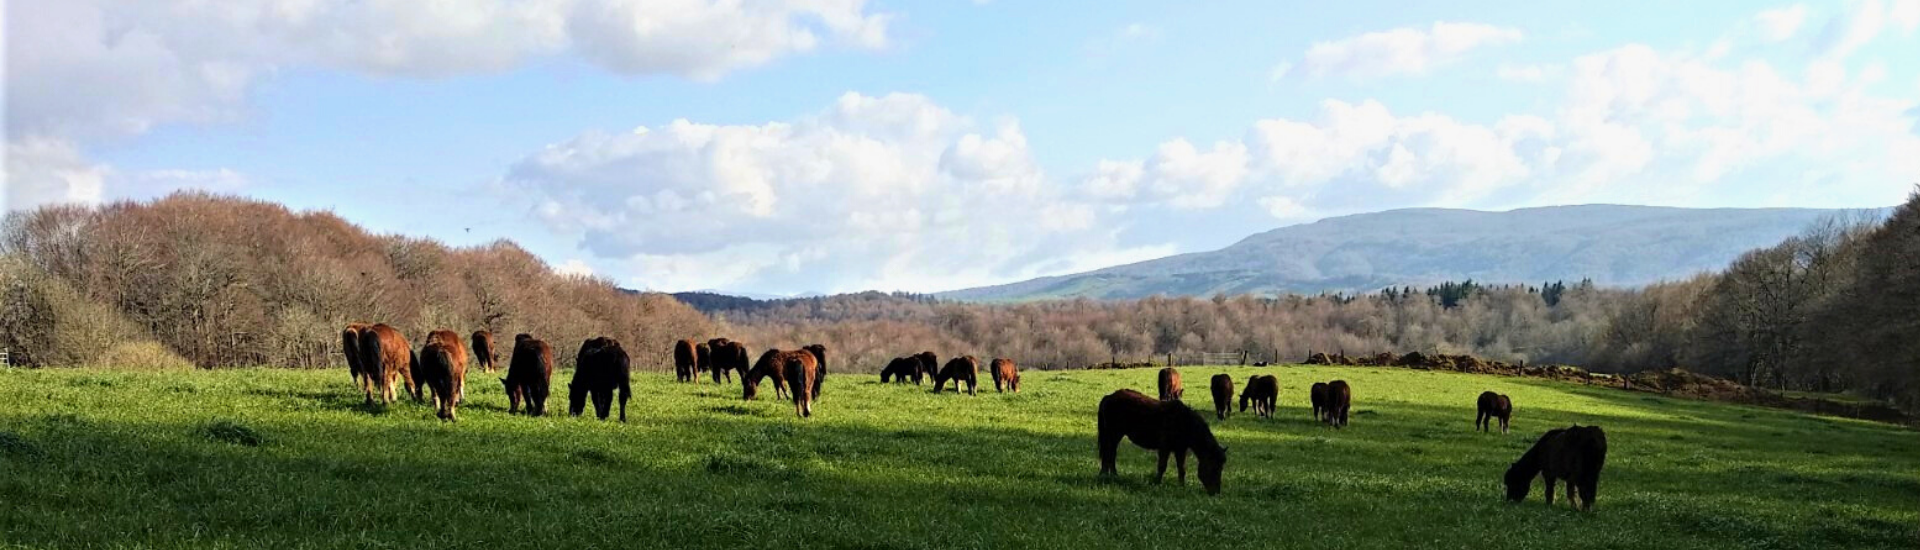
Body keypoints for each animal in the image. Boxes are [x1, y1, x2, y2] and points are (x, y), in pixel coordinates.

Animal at [1098, 388, 1228, 496]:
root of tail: (1109, 397)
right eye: (1214, 467)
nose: (1216, 492)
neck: (1184, 422)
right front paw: (1157, 483)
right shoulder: (1165, 448)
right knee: (1108, 453)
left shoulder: (1180, 449)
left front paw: (1182, 486)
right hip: (1113, 434)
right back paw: (1105, 476)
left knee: (1111, 453)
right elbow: (1162, 466)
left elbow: (1182, 468)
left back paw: (1113, 475)